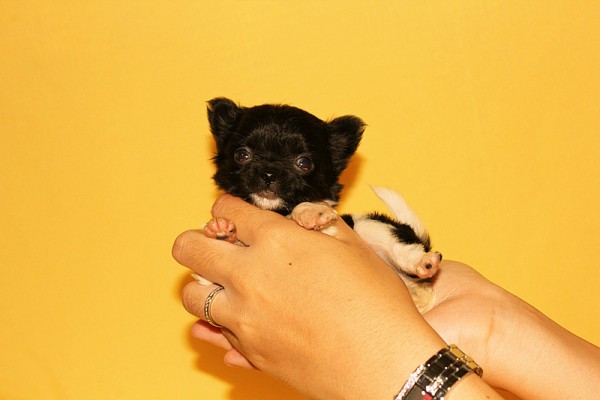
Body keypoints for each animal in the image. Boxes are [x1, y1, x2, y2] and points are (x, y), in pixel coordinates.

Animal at [200, 97, 441, 312]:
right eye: (242, 155)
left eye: (304, 163)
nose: (269, 173)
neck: (277, 212)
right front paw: (220, 231)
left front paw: (310, 212)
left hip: (369, 226)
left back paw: (423, 264)